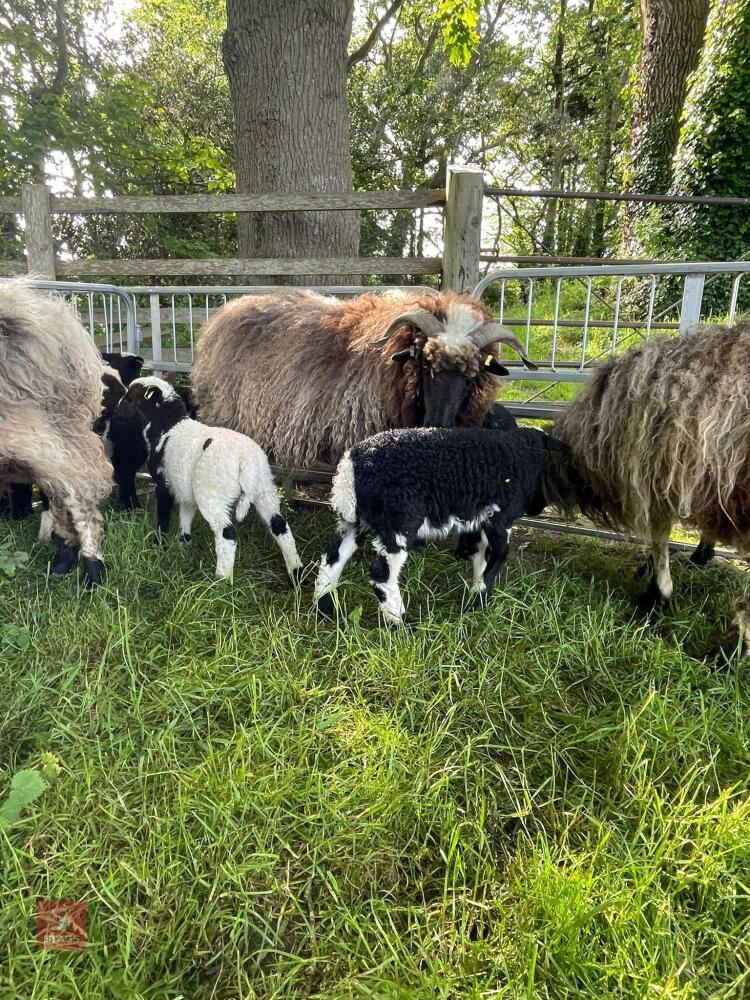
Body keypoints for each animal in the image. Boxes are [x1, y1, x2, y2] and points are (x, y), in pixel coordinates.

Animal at [122, 376, 303, 583]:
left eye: (131, 395)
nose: (118, 408)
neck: (168, 426)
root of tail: (245, 461)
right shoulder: (185, 488)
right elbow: (186, 514)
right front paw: (184, 543)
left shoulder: (163, 483)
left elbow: (163, 515)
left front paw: (159, 544)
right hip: (264, 488)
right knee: (279, 526)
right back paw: (296, 573)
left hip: (212, 493)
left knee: (227, 533)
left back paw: (221, 579)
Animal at [313, 426, 599, 626]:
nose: (537, 510)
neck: (526, 457)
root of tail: (351, 465)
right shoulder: (500, 517)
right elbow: (499, 555)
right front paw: (478, 603)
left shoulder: (481, 520)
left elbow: (481, 556)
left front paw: (475, 593)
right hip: (400, 521)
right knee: (382, 576)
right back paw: (401, 624)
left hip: (356, 520)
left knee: (332, 559)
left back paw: (325, 609)